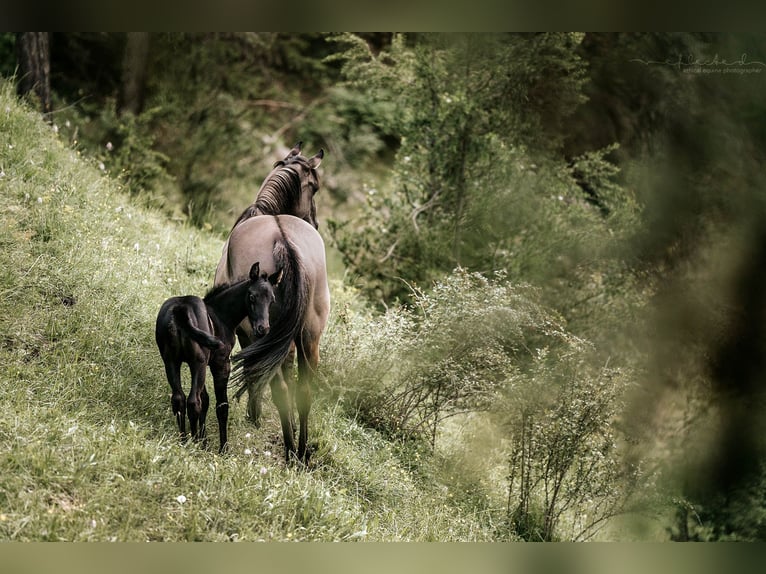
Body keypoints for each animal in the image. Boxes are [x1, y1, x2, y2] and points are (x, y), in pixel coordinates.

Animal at [154, 262, 284, 454]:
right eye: (252, 296)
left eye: (272, 300)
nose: (263, 329)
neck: (221, 315)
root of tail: (180, 310)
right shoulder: (221, 364)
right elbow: (221, 405)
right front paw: (223, 449)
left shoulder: (205, 363)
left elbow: (206, 399)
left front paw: (204, 441)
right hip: (197, 363)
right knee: (193, 401)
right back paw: (192, 445)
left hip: (171, 361)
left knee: (179, 398)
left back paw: (183, 441)